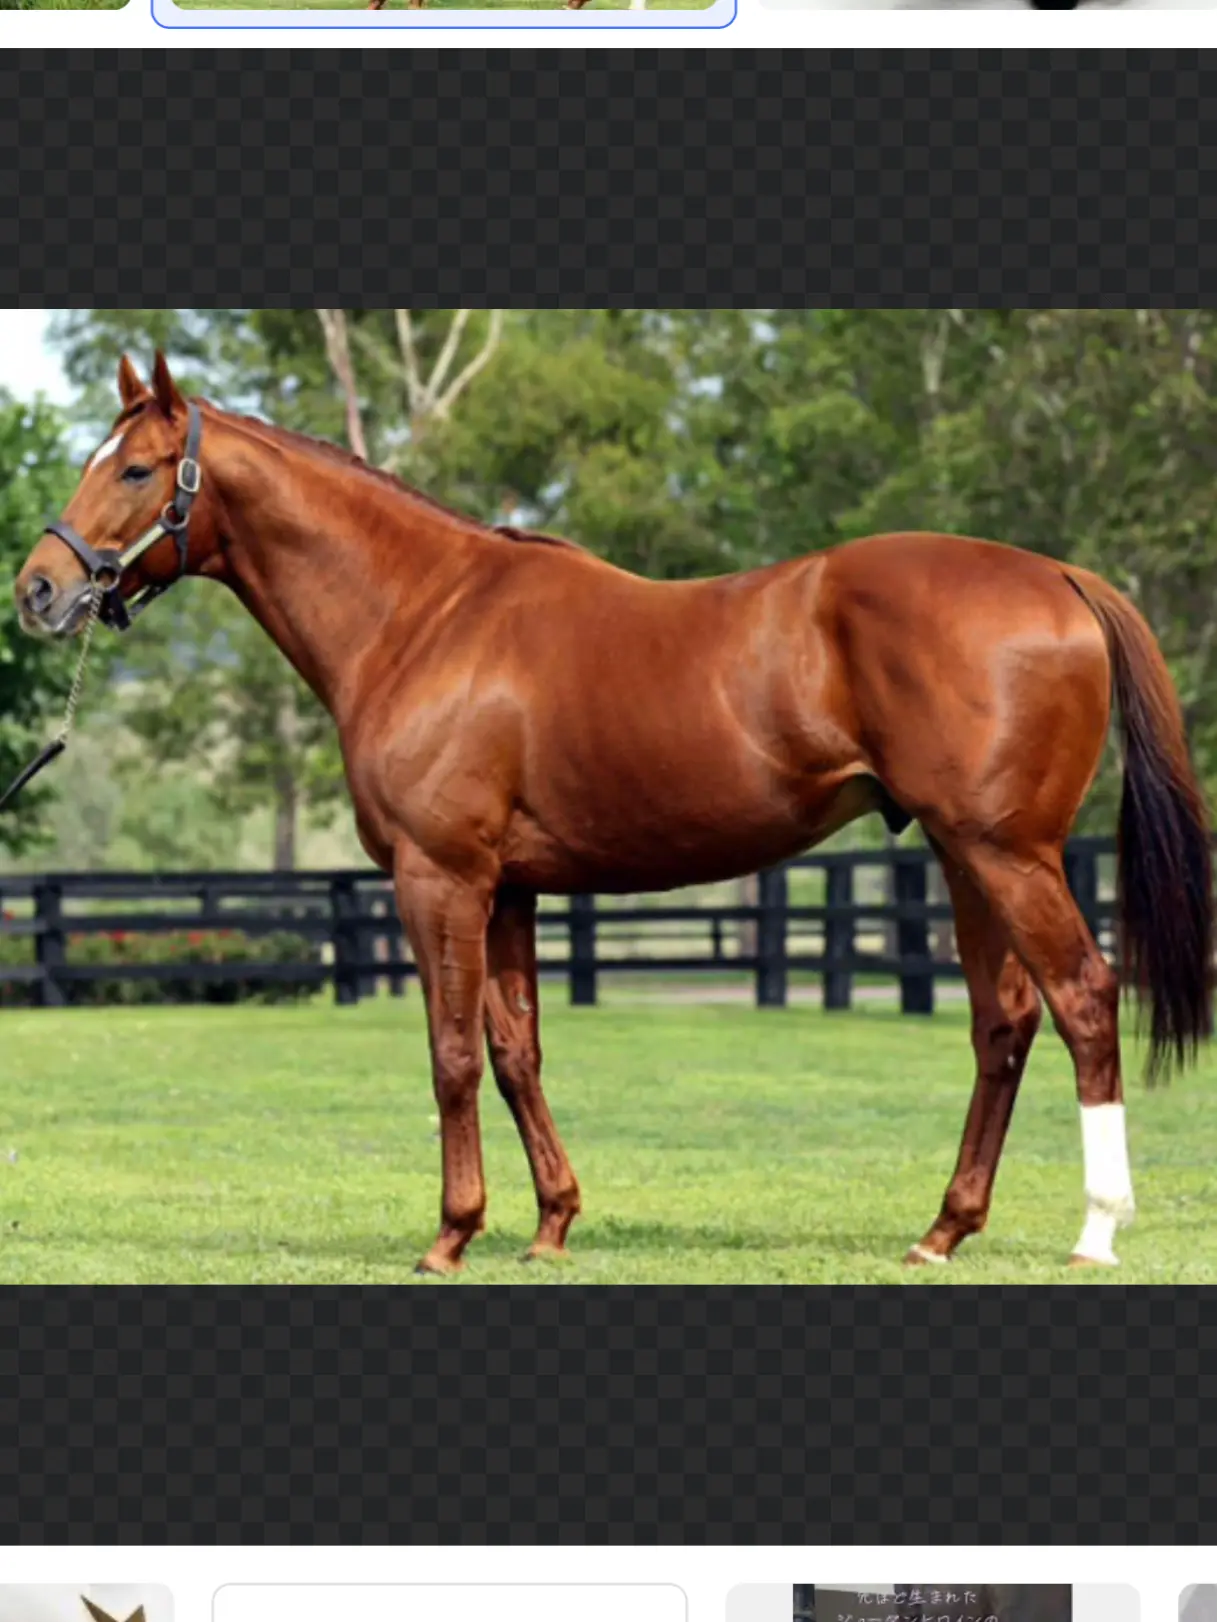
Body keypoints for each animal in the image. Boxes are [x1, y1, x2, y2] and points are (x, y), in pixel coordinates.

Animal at [14, 352, 1214, 1276]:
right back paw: (940, 1231)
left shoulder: (438, 876)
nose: (37, 590)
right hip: (967, 859)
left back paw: (1095, 1232)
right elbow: (516, 1051)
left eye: (134, 468)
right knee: (1001, 1023)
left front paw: (449, 1237)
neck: (420, 615)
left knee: (1083, 1000)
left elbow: (451, 1053)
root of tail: (1058, 577)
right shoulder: (509, 889)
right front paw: (548, 1226)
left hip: (1009, 854)